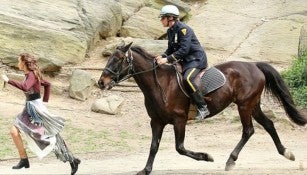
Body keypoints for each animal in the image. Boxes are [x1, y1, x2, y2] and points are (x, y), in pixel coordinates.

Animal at [97, 41, 306, 174]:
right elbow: (154, 146)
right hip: (252, 104)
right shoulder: (156, 122)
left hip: (244, 105)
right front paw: (146, 170)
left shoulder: (179, 120)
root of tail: (254, 65)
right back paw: (286, 153)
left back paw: (230, 160)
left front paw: (206, 157)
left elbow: (180, 148)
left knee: (248, 130)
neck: (160, 84)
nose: (101, 82)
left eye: (118, 60)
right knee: (269, 125)